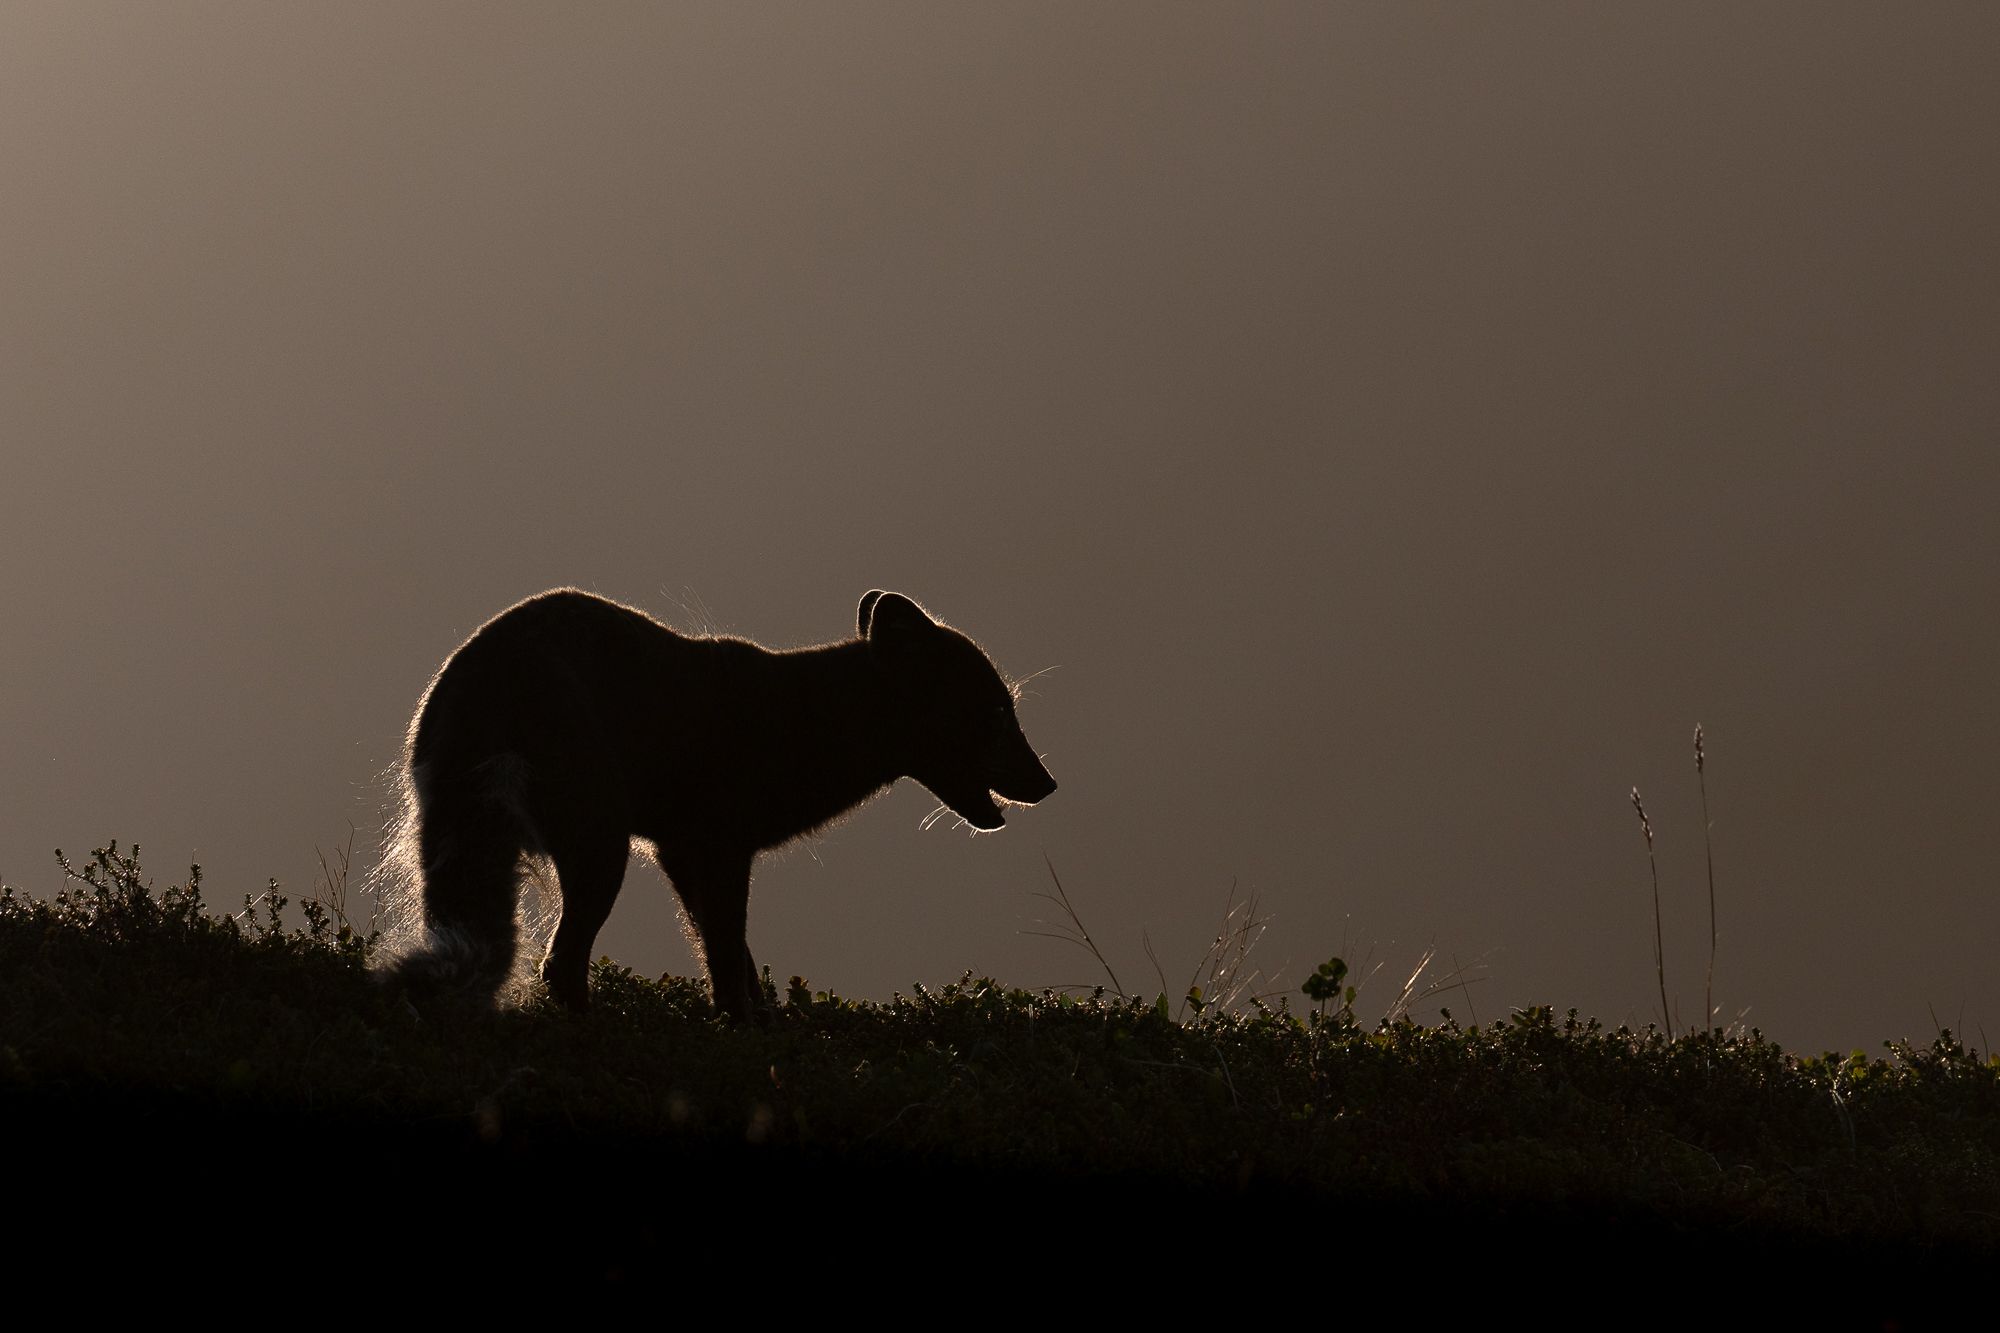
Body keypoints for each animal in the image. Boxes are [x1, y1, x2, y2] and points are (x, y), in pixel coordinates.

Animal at [378, 587, 1057, 1020]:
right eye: (998, 712)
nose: (1048, 784)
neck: (811, 725)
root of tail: (485, 682)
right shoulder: (723, 845)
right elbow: (729, 951)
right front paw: (743, 1026)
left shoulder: (682, 851)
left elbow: (725, 949)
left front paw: (760, 1015)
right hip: (600, 847)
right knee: (559, 963)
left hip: (456, 844)